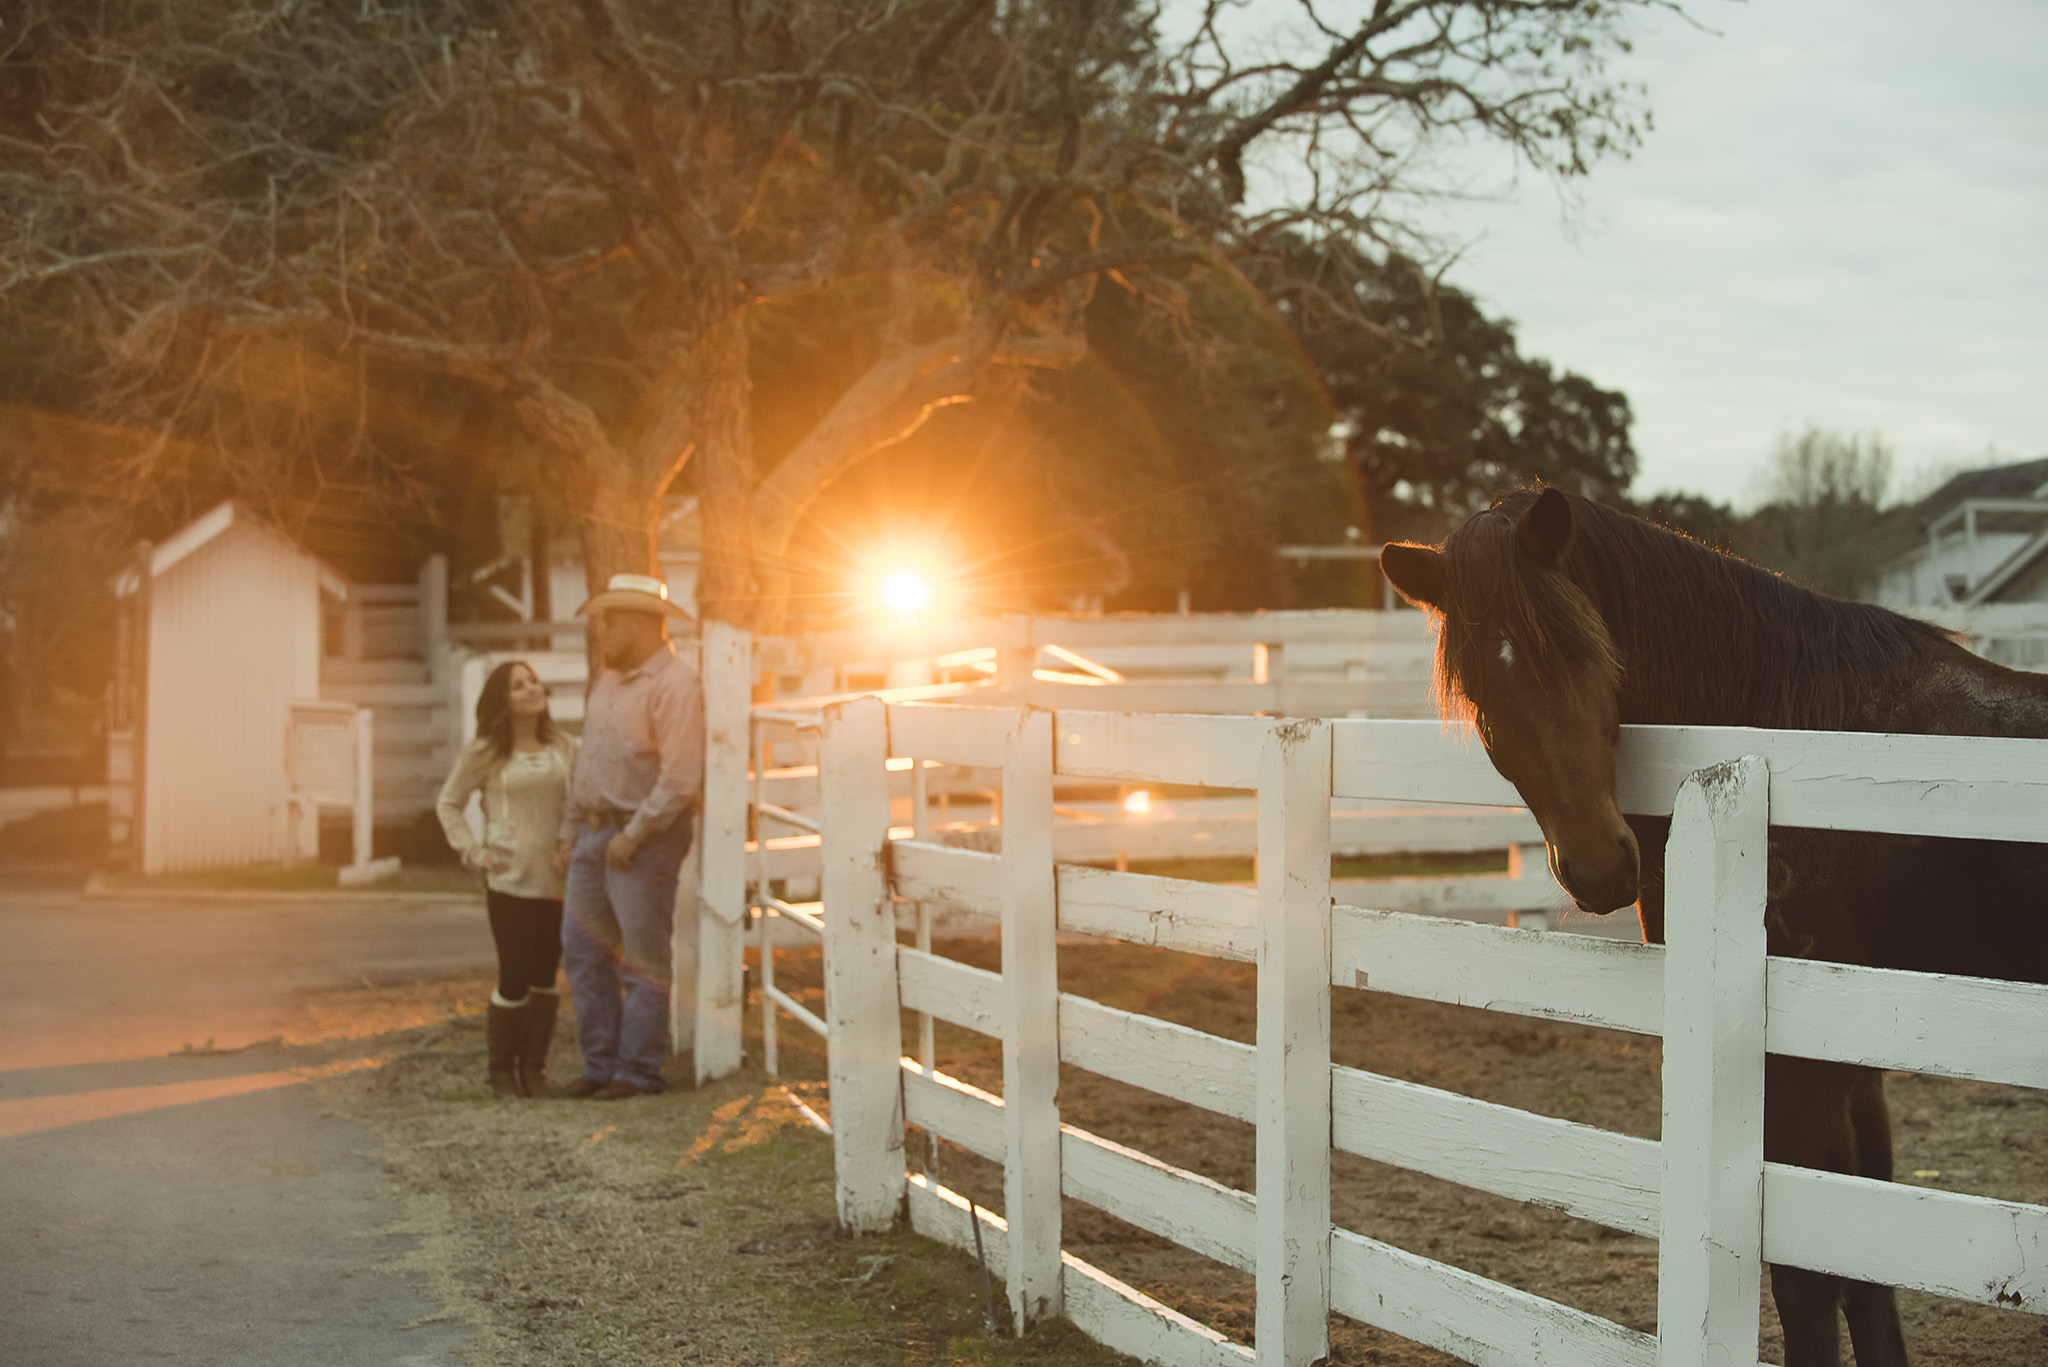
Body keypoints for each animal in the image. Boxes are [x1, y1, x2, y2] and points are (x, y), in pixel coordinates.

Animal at [1376, 489, 2048, 1367]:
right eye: (1480, 692)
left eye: (1586, 653)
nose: (1598, 865)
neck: (1791, 745)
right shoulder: (1854, 1063)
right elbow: (1865, 1279)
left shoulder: (1800, 1071)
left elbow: (1808, 1288)